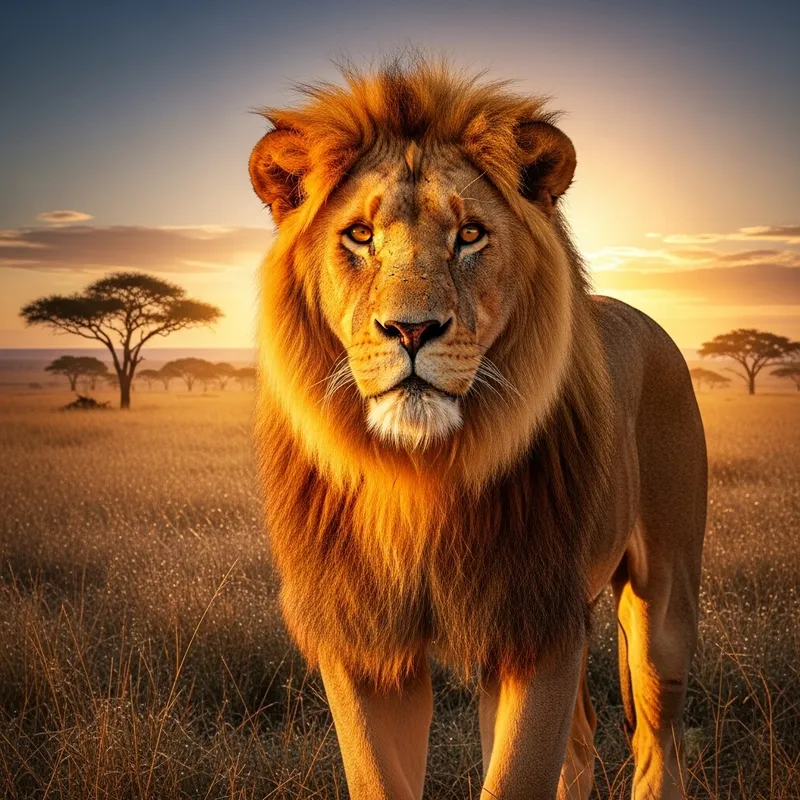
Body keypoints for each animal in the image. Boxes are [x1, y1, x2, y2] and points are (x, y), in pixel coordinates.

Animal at [249, 57, 707, 800]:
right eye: (360, 236)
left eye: (469, 235)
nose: (412, 330)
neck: (420, 473)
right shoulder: (364, 637)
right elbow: (377, 776)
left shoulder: (532, 623)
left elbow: (518, 774)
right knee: (582, 742)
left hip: (663, 598)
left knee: (656, 739)